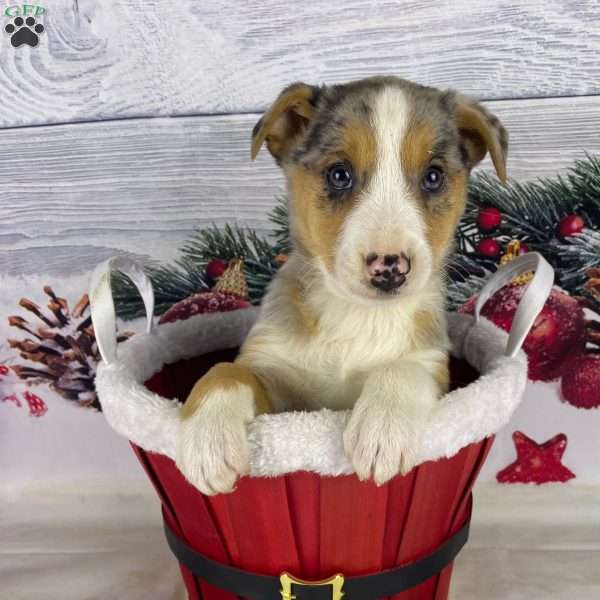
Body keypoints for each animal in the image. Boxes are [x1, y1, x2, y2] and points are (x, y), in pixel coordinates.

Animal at [177, 76, 506, 496]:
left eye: (433, 176)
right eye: (339, 174)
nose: (390, 268)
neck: (358, 316)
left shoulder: (432, 364)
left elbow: (402, 368)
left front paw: (383, 427)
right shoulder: (274, 379)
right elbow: (227, 371)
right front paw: (209, 436)